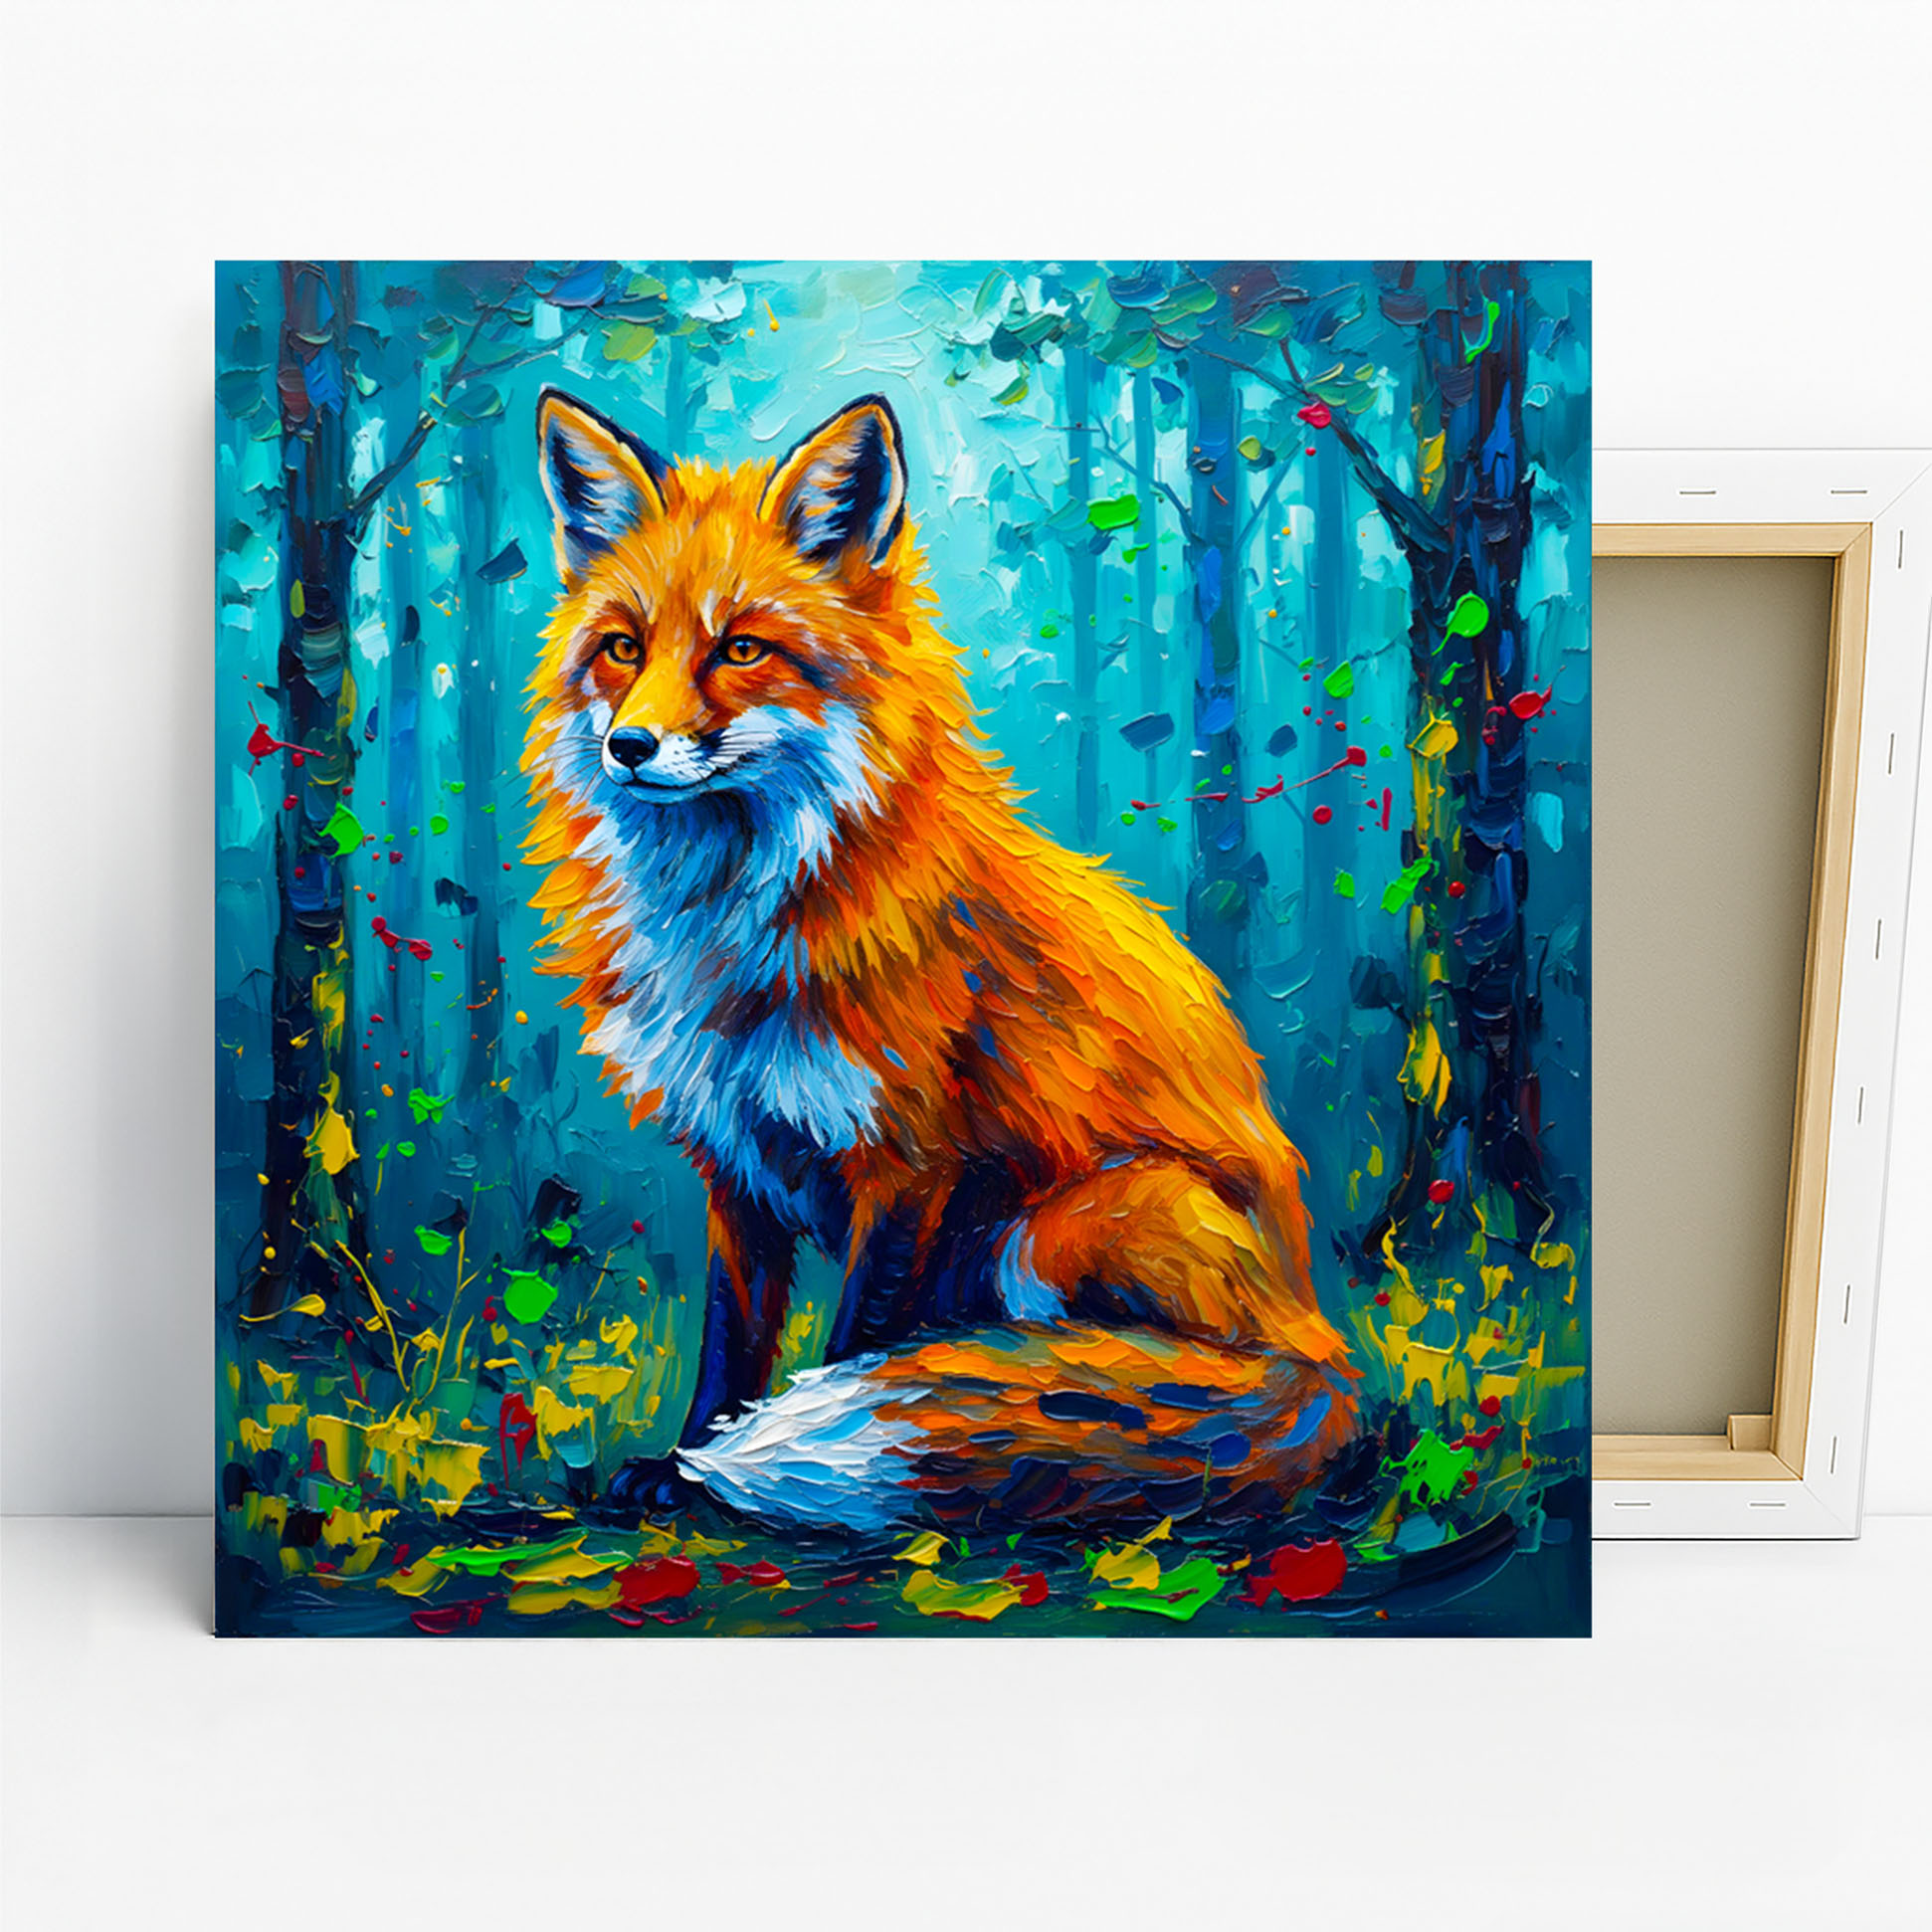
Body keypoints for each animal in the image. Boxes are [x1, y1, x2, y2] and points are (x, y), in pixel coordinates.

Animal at [523, 386, 1357, 1537]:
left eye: (740, 650)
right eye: (620, 647)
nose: (630, 747)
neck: (733, 925)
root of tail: (1324, 1356)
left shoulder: (909, 1158)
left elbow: (859, 1341)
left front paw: (744, 1479)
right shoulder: (734, 1160)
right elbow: (733, 1337)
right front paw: (687, 1460)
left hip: (1072, 1220)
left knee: (1139, 1368)